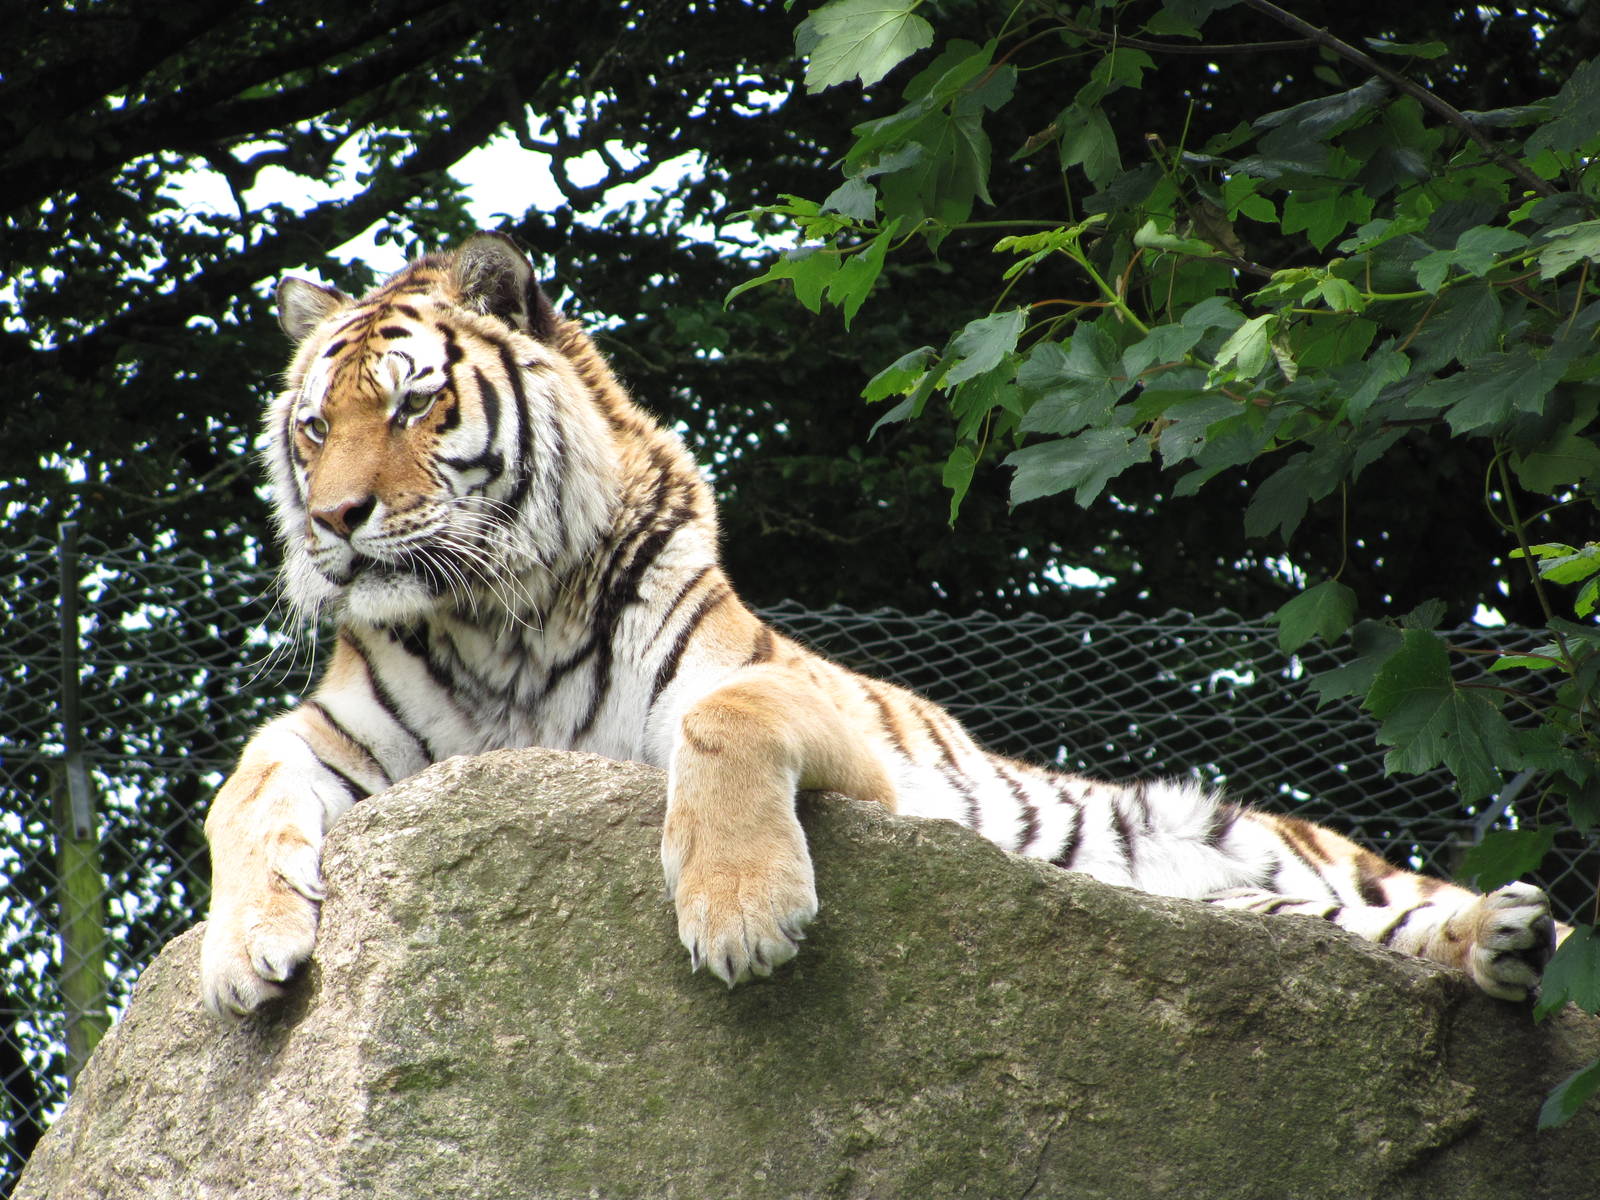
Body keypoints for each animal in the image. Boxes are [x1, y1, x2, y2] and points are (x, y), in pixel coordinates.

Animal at [200, 231, 1559, 1018]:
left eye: (414, 407)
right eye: (315, 426)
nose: (335, 521)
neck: (496, 623)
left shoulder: (808, 712)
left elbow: (726, 717)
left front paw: (741, 916)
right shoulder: (345, 739)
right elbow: (242, 789)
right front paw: (242, 951)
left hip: (1271, 839)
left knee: (1397, 908)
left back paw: (1503, 927)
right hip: (1241, 917)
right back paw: (1495, 949)